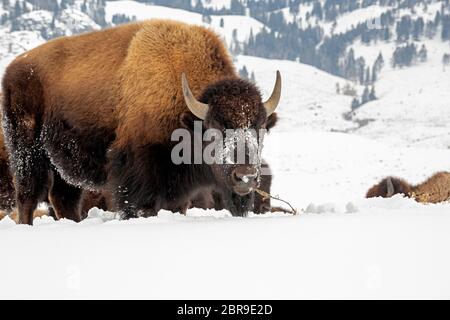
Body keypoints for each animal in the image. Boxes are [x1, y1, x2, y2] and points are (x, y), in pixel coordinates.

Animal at [0, 20, 282, 225]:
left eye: (260, 127)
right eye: (216, 127)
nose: (246, 176)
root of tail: (14, 68)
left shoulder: (176, 190)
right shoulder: (135, 176)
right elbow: (137, 206)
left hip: (62, 163)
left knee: (63, 198)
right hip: (27, 151)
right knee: (28, 195)